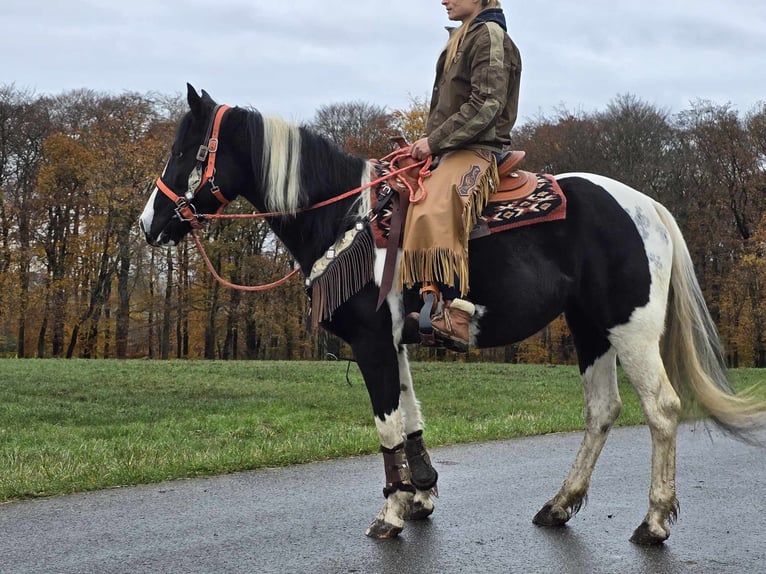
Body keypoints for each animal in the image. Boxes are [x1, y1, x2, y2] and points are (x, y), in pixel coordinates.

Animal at [140, 86, 766, 548]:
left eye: (184, 151)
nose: (149, 224)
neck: (348, 216)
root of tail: (647, 206)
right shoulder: (396, 340)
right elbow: (410, 417)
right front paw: (420, 494)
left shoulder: (372, 341)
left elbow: (388, 424)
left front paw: (392, 513)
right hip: (589, 329)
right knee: (602, 410)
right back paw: (559, 505)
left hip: (629, 329)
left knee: (661, 409)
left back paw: (654, 522)